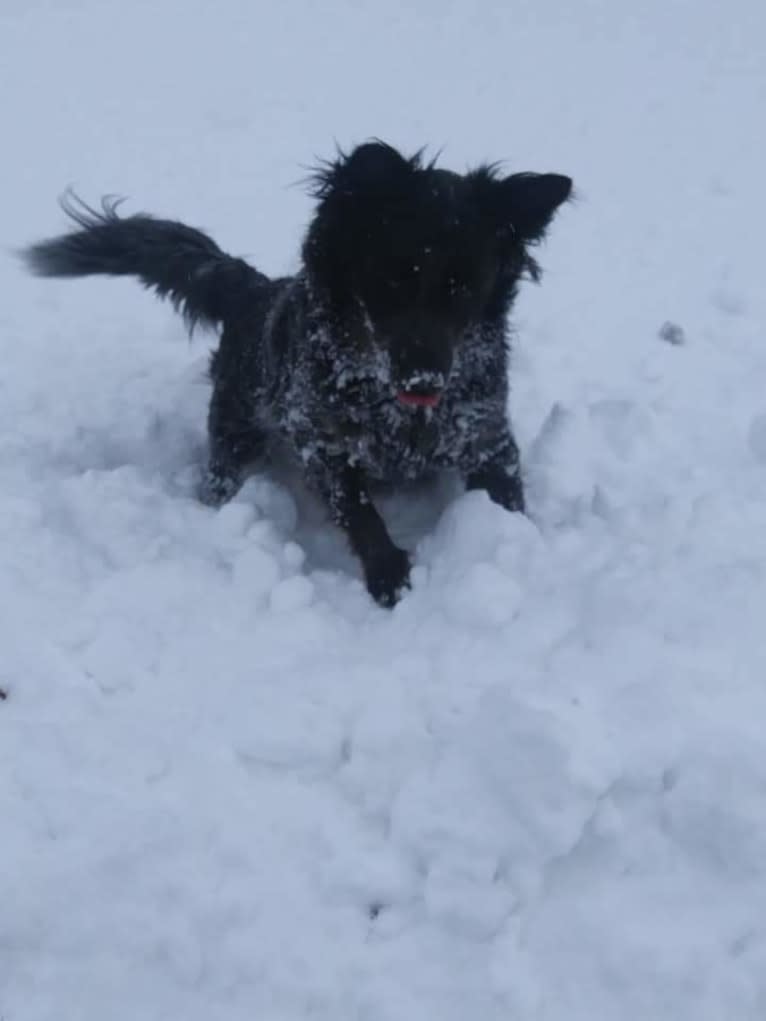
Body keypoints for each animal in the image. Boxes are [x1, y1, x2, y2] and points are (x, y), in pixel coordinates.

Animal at [24, 142, 571, 604]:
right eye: (395, 278)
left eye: (465, 287)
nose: (425, 381)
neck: (391, 408)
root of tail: (254, 292)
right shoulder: (320, 441)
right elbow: (359, 511)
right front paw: (390, 577)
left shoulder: (487, 437)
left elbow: (506, 497)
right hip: (235, 441)